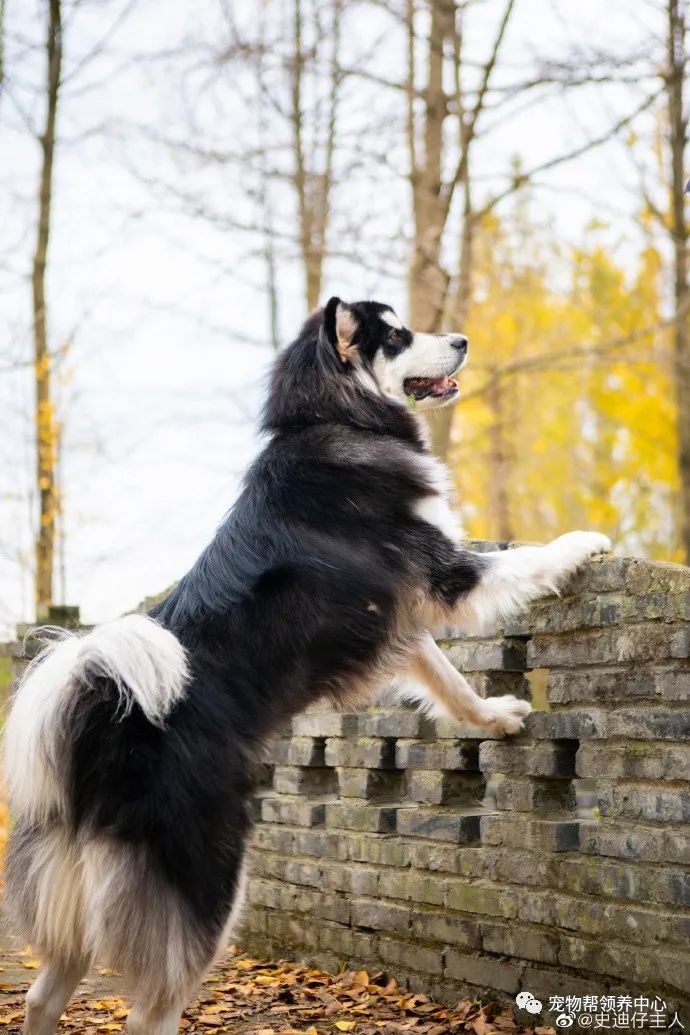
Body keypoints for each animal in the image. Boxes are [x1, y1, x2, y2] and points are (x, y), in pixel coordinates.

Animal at [4, 296, 608, 1030]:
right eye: (398, 335)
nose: (464, 339)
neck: (334, 418)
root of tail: (100, 729)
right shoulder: (443, 573)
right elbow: (531, 561)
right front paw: (585, 541)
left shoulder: (394, 620)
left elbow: (452, 684)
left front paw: (496, 717)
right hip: (210, 874)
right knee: (151, 1006)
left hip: (73, 894)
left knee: (42, 992)